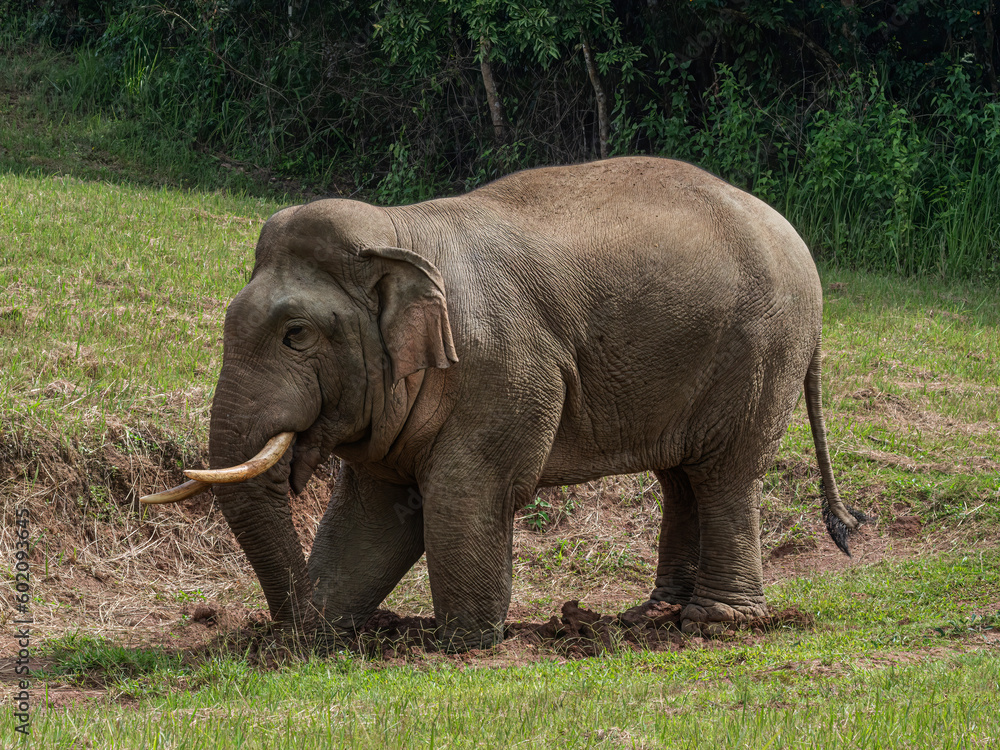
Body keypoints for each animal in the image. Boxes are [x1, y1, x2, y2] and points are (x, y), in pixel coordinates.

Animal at [143, 156, 865, 651]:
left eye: (297, 334)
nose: (288, 630)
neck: (401, 233)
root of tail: (798, 243)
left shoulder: (504, 370)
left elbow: (466, 493)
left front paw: (464, 643)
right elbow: (376, 511)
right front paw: (329, 631)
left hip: (760, 353)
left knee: (725, 475)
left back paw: (715, 623)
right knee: (681, 478)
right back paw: (650, 617)